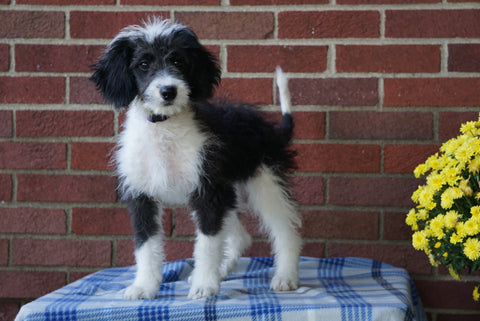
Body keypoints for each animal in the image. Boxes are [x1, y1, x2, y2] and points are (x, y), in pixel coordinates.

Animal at [90, 17, 300, 298]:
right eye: (143, 64)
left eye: (178, 61)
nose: (168, 91)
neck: (164, 126)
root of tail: (272, 129)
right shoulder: (142, 195)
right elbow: (146, 245)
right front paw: (144, 287)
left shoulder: (208, 192)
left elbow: (207, 243)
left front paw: (204, 286)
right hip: (229, 190)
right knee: (240, 235)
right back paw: (224, 269)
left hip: (266, 183)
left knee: (286, 230)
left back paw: (285, 276)